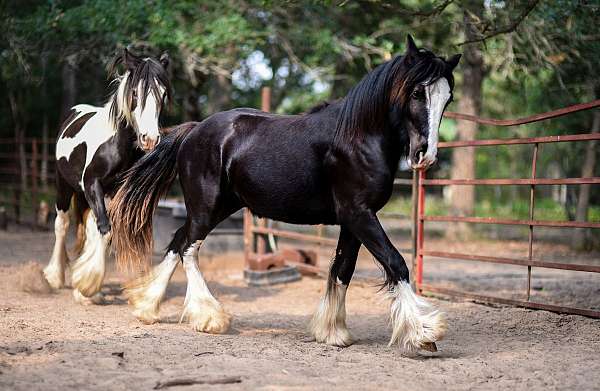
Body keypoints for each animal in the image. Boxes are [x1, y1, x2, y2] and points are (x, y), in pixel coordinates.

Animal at [43, 49, 170, 304]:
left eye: (162, 94)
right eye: (135, 92)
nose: (150, 139)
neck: (116, 145)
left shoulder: (116, 192)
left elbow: (104, 232)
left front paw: (86, 285)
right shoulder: (93, 184)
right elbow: (104, 228)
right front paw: (86, 285)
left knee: (87, 228)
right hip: (64, 186)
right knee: (62, 225)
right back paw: (54, 277)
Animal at [111, 36, 460, 354]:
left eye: (448, 98)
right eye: (416, 92)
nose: (425, 156)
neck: (358, 136)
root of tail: (194, 130)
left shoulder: (353, 220)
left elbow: (342, 270)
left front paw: (333, 332)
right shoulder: (359, 214)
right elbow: (396, 262)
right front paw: (425, 334)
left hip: (219, 207)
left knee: (177, 242)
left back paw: (147, 307)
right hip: (205, 207)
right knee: (188, 249)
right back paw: (209, 317)